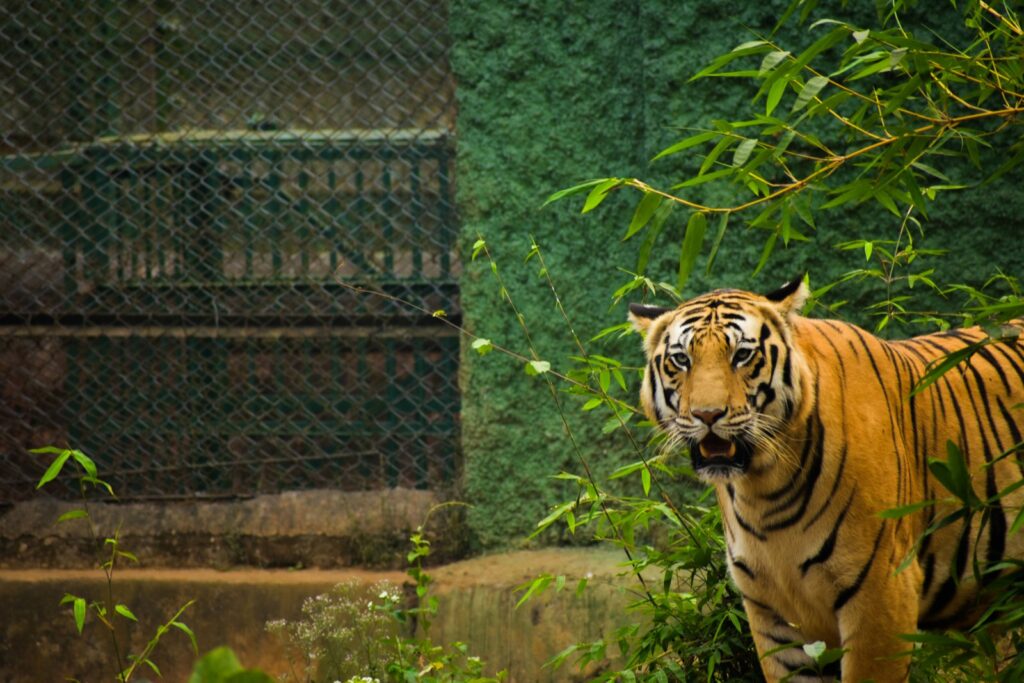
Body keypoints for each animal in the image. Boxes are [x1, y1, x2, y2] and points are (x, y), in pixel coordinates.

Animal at [622, 274, 1024, 679]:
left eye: (742, 356)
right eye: (681, 360)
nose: (707, 414)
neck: (761, 489)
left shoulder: (882, 594)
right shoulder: (772, 613)